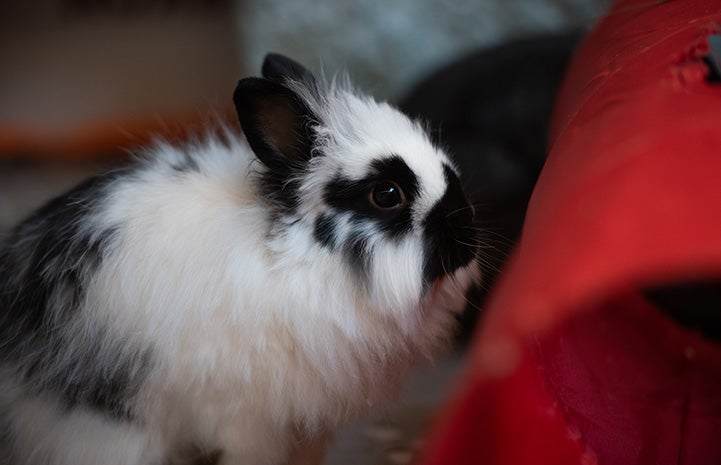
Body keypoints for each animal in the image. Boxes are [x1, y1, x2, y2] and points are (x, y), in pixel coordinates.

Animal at [1, 53, 484, 464]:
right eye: (387, 194)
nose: (469, 238)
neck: (296, 260)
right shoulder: (248, 421)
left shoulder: (305, 425)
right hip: (110, 432)